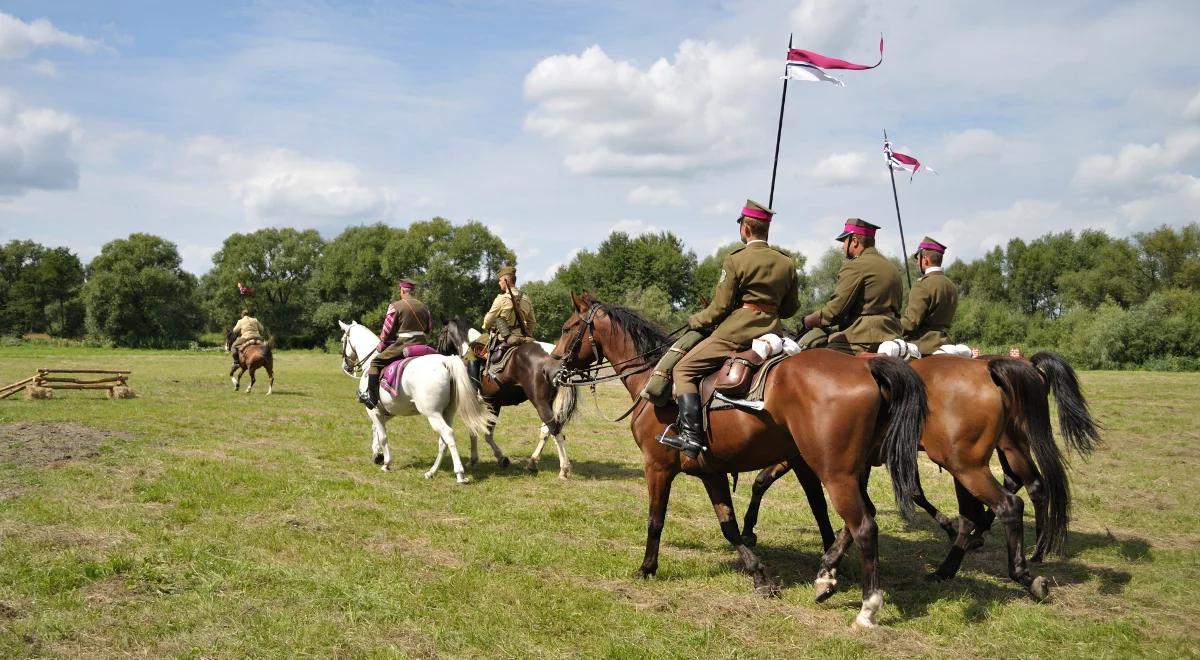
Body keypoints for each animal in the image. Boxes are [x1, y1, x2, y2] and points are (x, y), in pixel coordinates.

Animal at [336, 321, 494, 487]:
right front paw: (376, 453)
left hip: (433, 415)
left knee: (448, 435)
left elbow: (383, 435)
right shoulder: (386, 412)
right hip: (447, 413)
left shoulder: (373, 410)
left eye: (342, 340)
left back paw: (460, 474)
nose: (346, 367)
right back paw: (432, 472)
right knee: (443, 442)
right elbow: (376, 430)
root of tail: (445, 362)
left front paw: (386, 462)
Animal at [439, 316, 578, 477]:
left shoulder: (481, 404)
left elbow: (479, 432)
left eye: (441, 333)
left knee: (555, 431)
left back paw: (564, 469)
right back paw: (533, 462)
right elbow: (485, 432)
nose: (438, 350)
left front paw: (494, 458)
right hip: (549, 403)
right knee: (547, 431)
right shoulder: (494, 404)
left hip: (540, 403)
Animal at [552, 295, 926, 633]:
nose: (554, 368)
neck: (654, 379)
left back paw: (866, 608)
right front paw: (760, 577)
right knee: (862, 517)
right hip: (848, 472)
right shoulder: (710, 472)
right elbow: (729, 527)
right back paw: (827, 574)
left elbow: (655, 521)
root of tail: (865, 365)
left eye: (568, 327)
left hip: (834, 473)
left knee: (863, 526)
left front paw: (646, 568)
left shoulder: (656, 468)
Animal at [734, 355, 1099, 602]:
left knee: (1014, 500)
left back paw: (1023, 564)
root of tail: (989, 368)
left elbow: (800, 495)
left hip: (973, 461)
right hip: (994, 453)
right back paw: (964, 561)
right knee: (1011, 495)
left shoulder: (807, 460)